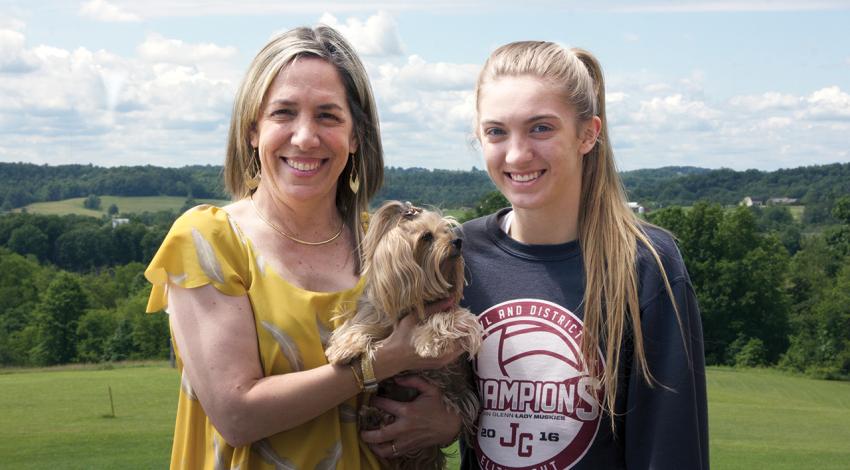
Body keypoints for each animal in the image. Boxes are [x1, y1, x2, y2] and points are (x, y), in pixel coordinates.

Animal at [326, 200, 484, 468]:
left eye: (448, 231)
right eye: (427, 236)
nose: (458, 241)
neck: (417, 299)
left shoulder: (452, 312)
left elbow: (447, 319)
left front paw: (429, 341)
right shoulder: (378, 313)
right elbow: (362, 325)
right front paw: (344, 347)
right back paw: (374, 417)